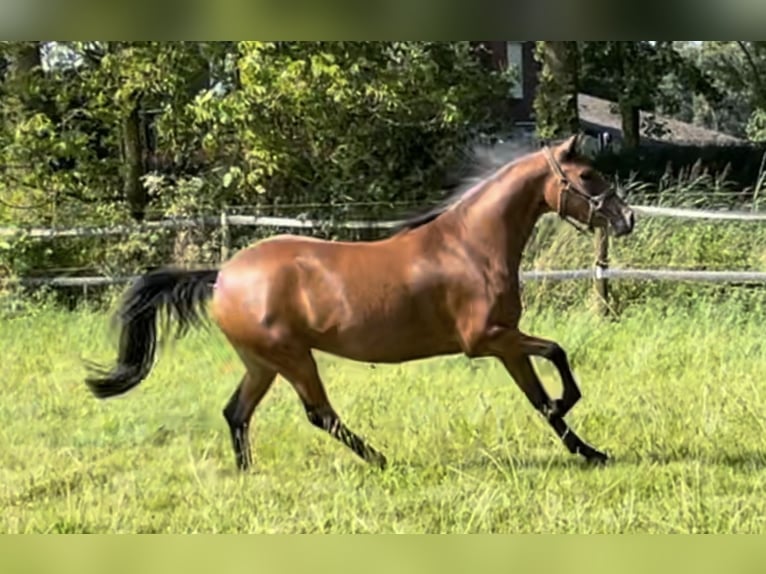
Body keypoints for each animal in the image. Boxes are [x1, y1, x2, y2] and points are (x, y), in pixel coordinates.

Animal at [85, 134, 636, 472]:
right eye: (588, 176)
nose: (626, 219)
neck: (471, 245)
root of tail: (222, 276)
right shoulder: (488, 339)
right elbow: (556, 358)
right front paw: (571, 409)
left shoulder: (505, 344)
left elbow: (541, 399)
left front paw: (592, 452)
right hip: (292, 357)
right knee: (318, 413)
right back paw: (380, 459)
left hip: (261, 362)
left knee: (236, 412)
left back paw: (247, 473)